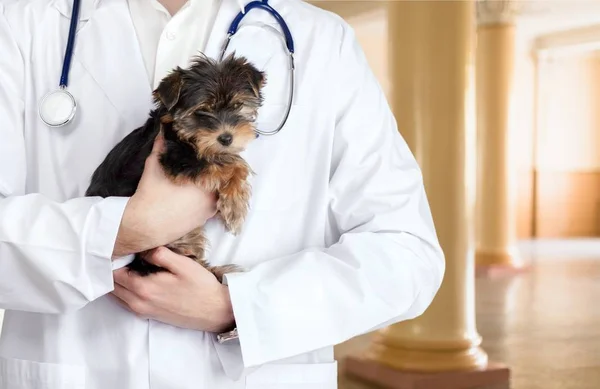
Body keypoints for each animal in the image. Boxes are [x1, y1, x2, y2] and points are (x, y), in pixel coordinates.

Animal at [85, 53, 264, 280]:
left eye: (236, 105)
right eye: (201, 112)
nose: (226, 138)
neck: (185, 133)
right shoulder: (176, 159)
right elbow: (231, 164)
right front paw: (235, 208)